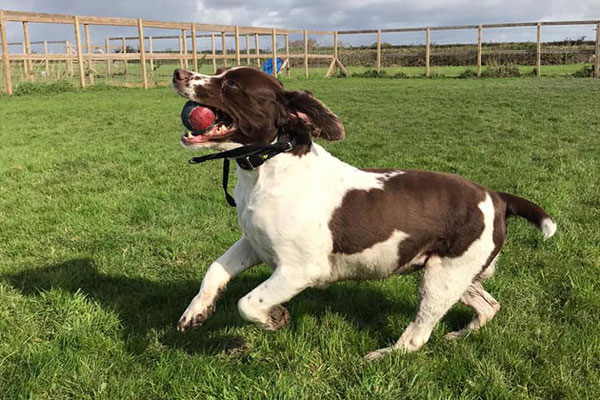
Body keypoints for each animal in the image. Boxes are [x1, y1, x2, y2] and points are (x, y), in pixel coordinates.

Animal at [171, 66, 556, 360]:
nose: (178, 73)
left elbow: (248, 302)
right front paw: (196, 312)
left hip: (443, 278)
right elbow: (215, 271)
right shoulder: (252, 243)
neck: (270, 171)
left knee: (418, 336)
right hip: (455, 273)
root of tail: (497, 196)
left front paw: (275, 318)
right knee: (489, 306)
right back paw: (459, 336)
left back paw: (382, 356)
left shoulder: (299, 270)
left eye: (232, 85)